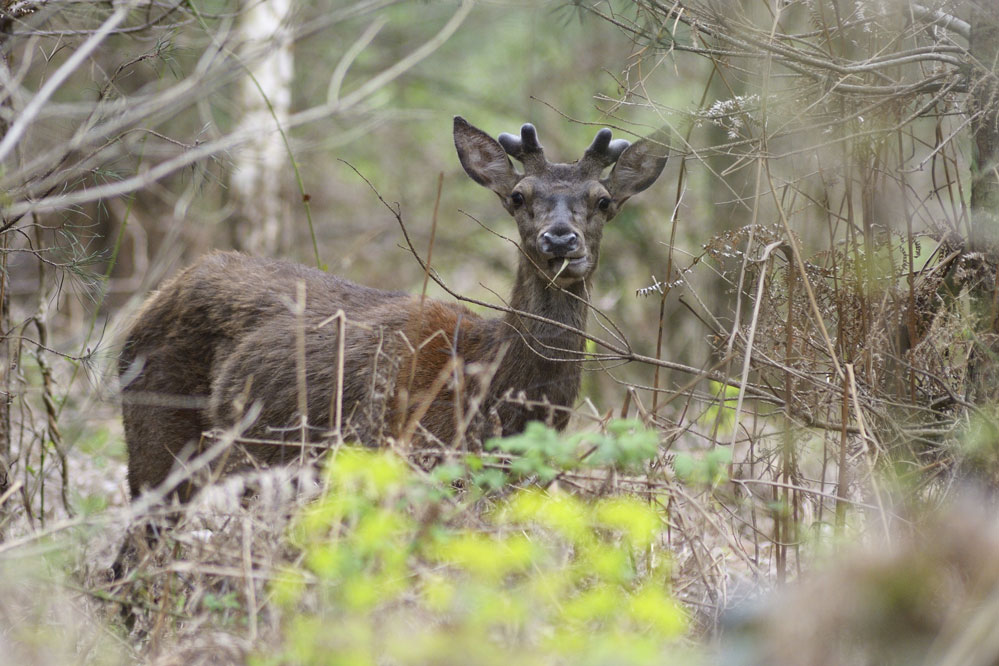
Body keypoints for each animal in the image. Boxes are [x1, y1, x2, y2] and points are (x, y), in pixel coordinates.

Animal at [119, 115, 672, 498]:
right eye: (518, 195)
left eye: (603, 200)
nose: (560, 239)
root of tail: (150, 303)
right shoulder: (397, 453)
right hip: (157, 436)